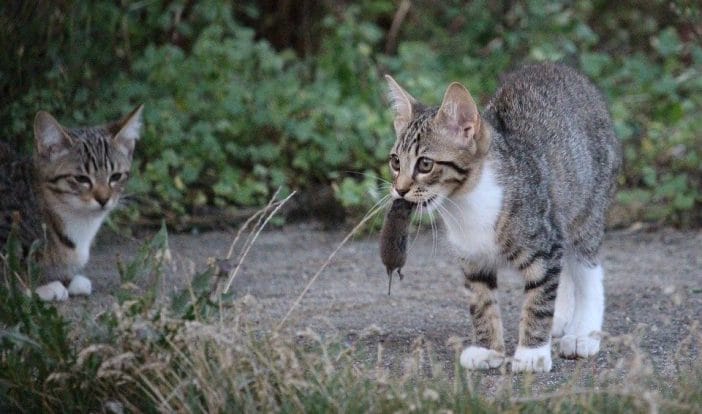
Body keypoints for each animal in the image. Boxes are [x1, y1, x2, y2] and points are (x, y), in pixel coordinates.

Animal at [384, 64, 620, 372]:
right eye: (395, 162)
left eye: (425, 164)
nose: (399, 189)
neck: (465, 202)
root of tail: (559, 66)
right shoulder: (473, 258)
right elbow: (481, 302)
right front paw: (487, 350)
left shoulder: (544, 244)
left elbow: (538, 301)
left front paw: (532, 353)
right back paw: (562, 318)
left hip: (586, 208)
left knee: (587, 269)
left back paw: (583, 333)